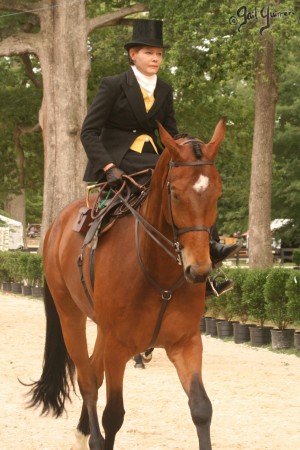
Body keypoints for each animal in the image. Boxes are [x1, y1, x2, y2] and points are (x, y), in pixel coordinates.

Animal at [27, 119, 225, 450]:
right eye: (174, 193)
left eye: (217, 194)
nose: (198, 270)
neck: (160, 277)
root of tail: (56, 225)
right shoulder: (118, 347)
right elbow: (113, 415)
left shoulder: (185, 343)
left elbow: (201, 408)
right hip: (70, 316)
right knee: (87, 380)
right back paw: (90, 438)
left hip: (102, 329)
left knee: (93, 371)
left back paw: (82, 431)